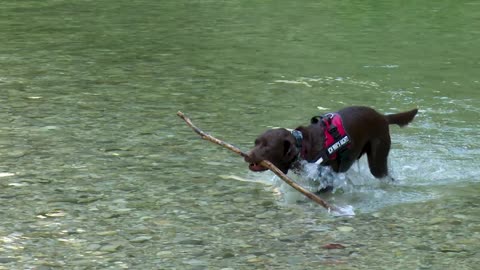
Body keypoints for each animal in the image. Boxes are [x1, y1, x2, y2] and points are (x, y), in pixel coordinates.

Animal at [246, 106, 418, 180]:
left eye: (267, 147)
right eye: (255, 142)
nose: (246, 155)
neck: (302, 146)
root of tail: (382, 117)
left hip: (377, 160)